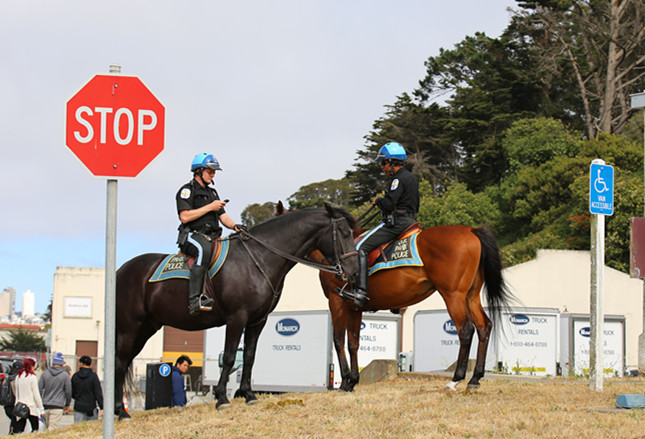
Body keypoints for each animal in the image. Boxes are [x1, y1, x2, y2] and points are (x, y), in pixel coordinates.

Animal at [114, 203, 358, 416]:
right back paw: (121, 412)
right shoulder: (236, 318)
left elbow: (249, 356)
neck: (259, 258)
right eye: (345, 233)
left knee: (124, 362)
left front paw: (249, 395)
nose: (354, 271)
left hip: (145, 329)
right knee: (119, 361)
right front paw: (222, 398)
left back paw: (119, 411)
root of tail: (121, 270)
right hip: (129, 328)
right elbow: (230, 357)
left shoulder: (258, 320)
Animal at [274, 205, 510, 394]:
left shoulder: (337, 302)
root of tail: (471, 231)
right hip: (470, 296)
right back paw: (475, 378)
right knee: (484, 326)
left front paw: (345, 382)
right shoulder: (355, 308)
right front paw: (352, 381)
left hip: (453, 295)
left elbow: (339, 340)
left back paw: (456, 380)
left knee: (466, 330)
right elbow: (354, 343)